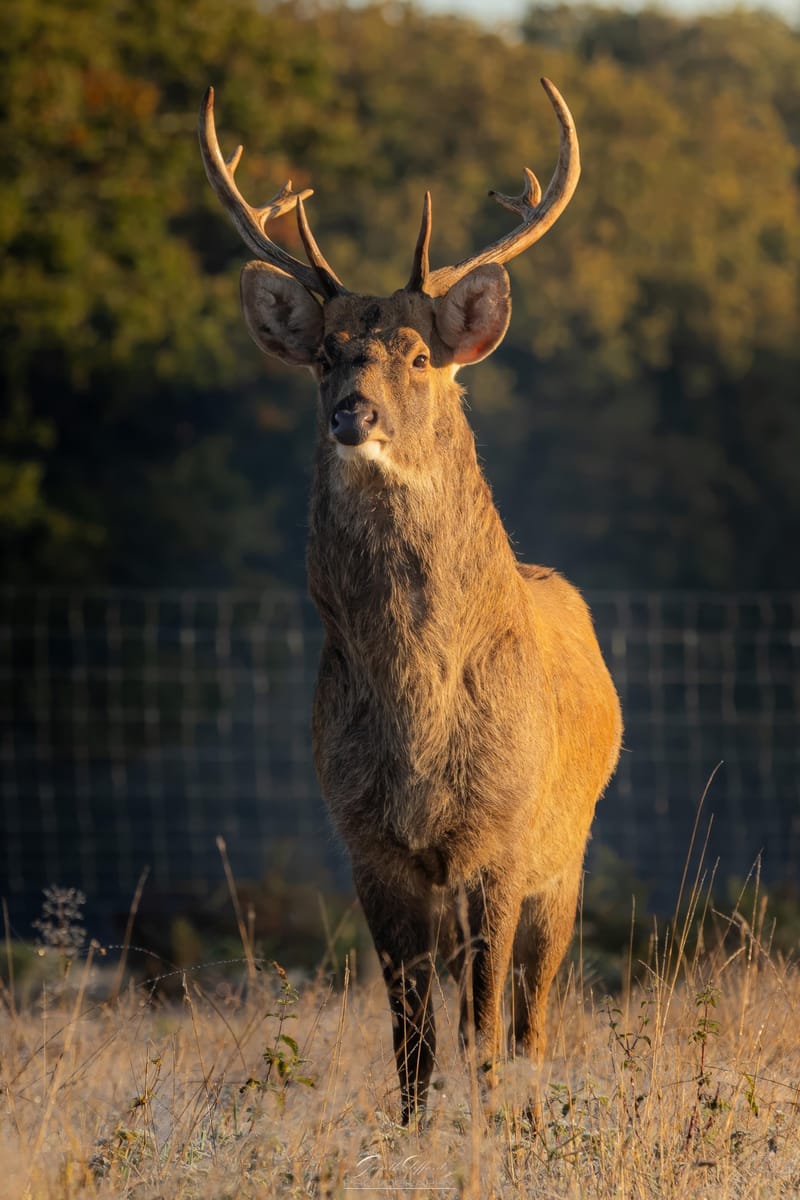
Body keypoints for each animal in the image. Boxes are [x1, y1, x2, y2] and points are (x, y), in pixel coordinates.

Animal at [199, 78, 622, 1125]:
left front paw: (488, 1131)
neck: (419, 716)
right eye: (325, 355)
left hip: (570, 848)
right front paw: (415, 1134)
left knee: (532, 1019)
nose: (354, 412)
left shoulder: (501, 832)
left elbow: (485, 1032)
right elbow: (413, 1042)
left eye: (419, 357)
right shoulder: (367, 839)